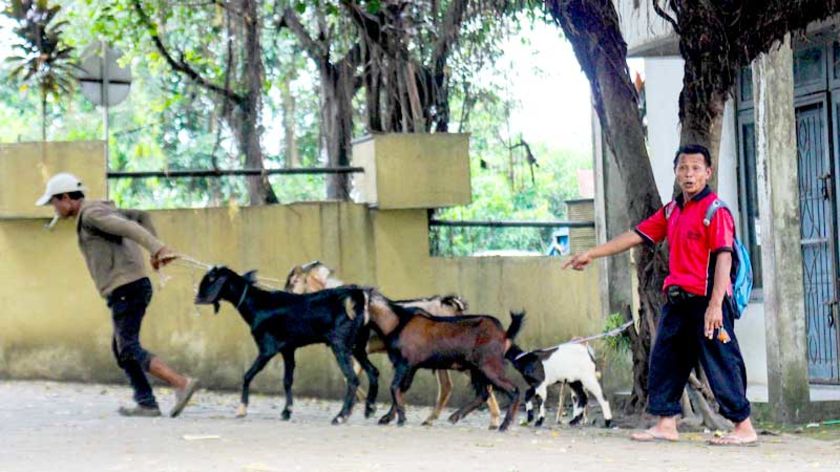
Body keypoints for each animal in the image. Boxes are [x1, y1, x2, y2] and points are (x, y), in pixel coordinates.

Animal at [194, 266, 378, 424]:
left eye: (210, 280)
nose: (196, 298)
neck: (258, 304)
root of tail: (357, 299)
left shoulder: (267, 348)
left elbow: (247, 375)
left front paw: (242, 409)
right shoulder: (288, 349)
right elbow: (287, 380)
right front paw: (286, 412)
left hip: (340, 344)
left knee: (352, 379)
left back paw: (341, 416)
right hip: (358, 345)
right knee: (373, 371)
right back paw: (370, 409)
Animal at [286, 262, 502, 428]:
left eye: (294, 282)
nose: (286, 295)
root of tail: (448, 304)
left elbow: (353, 377)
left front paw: (363, 408)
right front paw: (371, 407)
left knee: (473, 384)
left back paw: (493, 420)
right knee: (448, 386)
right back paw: (430, 419)